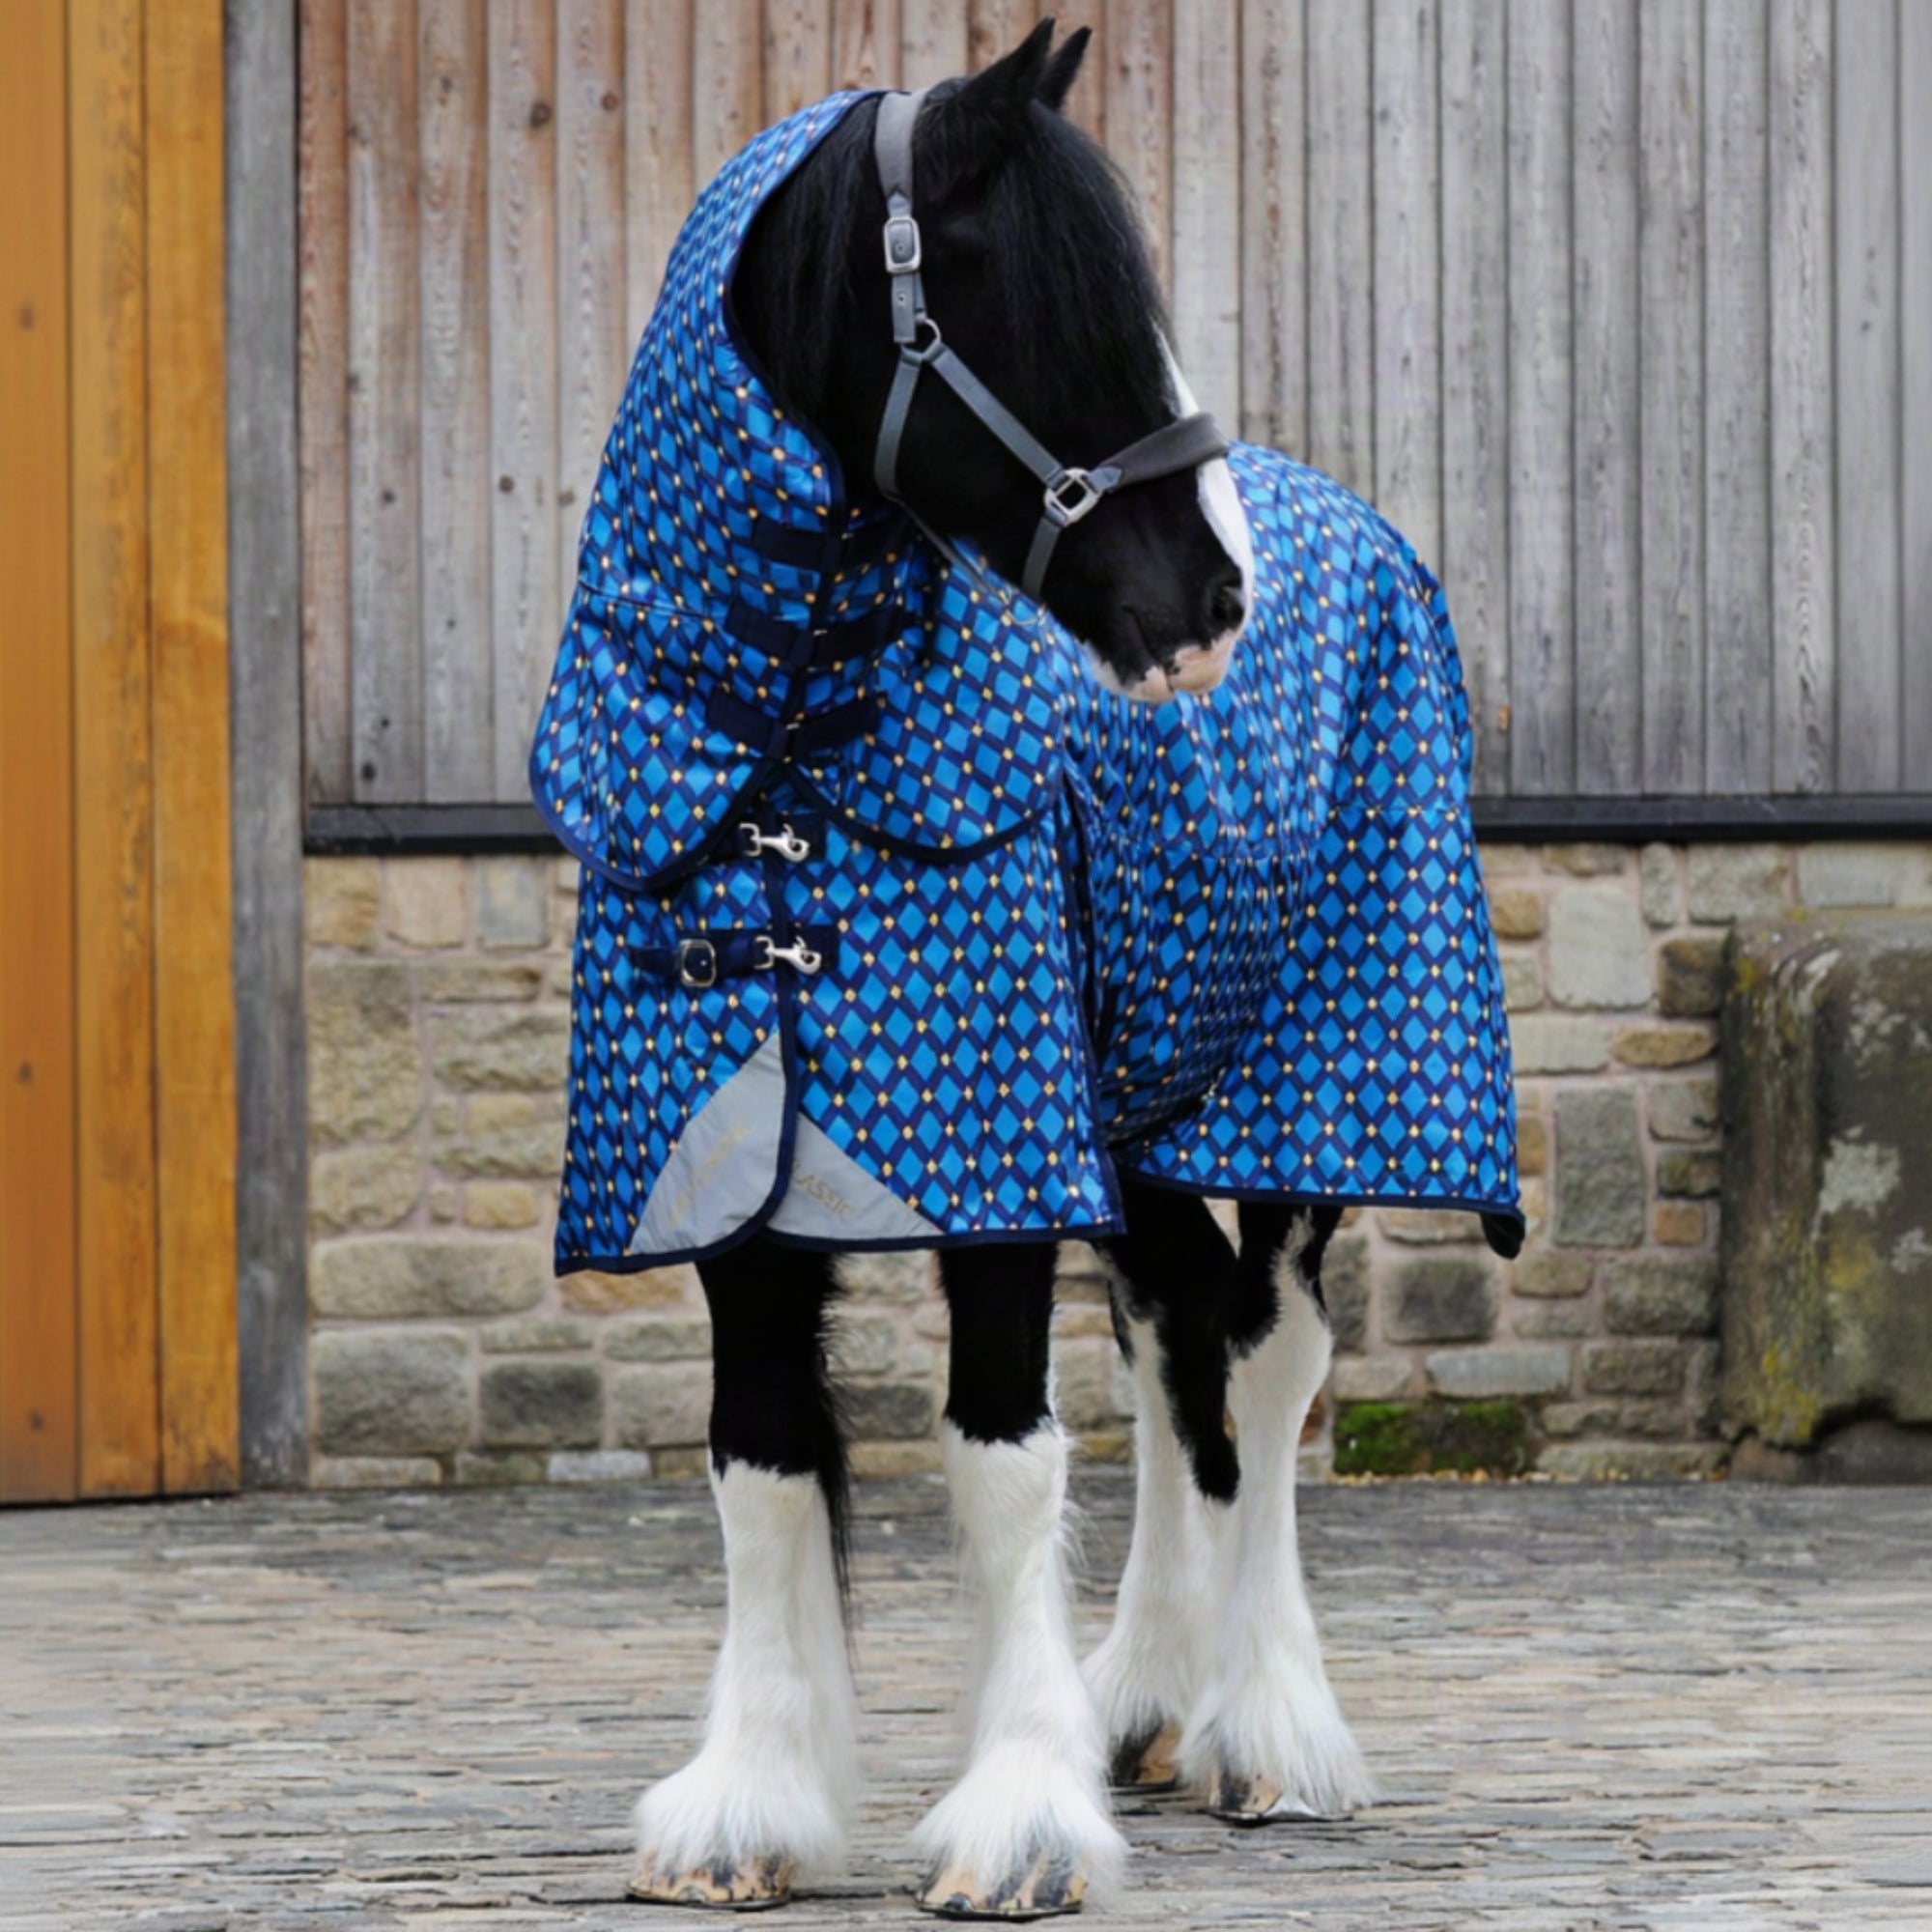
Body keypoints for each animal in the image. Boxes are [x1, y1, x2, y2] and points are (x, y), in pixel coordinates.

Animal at [528, 20, 1520, 1918]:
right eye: (1012, 290)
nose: (1213, 602)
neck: (791, 752)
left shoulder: (997, 1163)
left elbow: (1000, 1461)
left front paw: (1019, 1816)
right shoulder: (732, 1183)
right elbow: (764, 1459)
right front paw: (754, 1802)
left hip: (1294, 1106)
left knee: (1264, 1365)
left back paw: (1267, 1732)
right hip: (1136, 1131)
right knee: (1176, 1354)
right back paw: (1144, 1703)